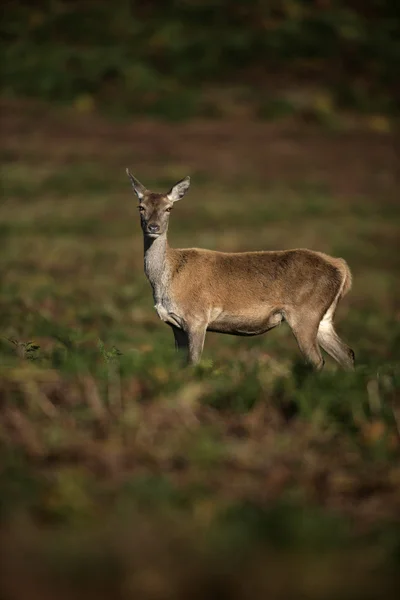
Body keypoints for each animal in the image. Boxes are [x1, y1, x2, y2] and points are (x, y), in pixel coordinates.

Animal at [126, 169, 354, 370]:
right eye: (141, 207)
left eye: (169, 208)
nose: (153, 227)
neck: (168, 277)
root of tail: (342, 268)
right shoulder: (175, 325)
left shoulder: (197, 317)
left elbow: (194, 362)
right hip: (323, 319)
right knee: (347, 354)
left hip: (305, 313)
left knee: (316, 360)